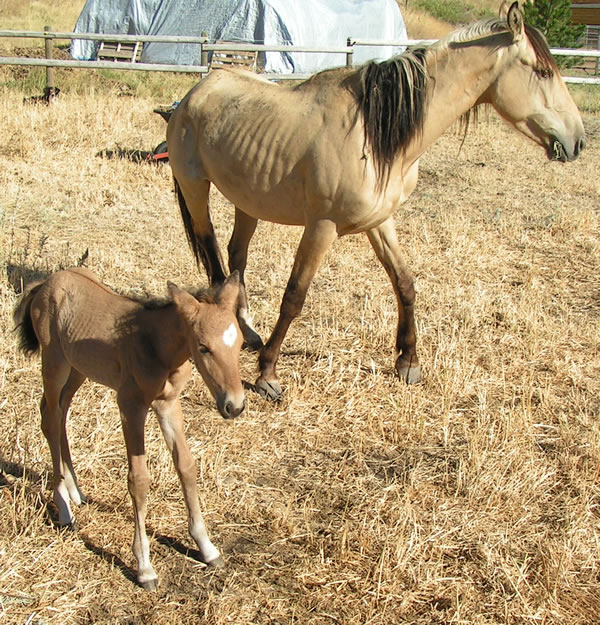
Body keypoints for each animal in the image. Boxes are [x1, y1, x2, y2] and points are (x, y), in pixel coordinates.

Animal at [168, 3, 584, 400]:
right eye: (542, 72)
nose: (577, 141)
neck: (373, 133)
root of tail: (196, 92)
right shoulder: (322, 227)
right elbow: (294, 296)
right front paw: (268, 374)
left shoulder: (382, 222)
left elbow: (405, 283)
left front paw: (408, 361)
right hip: (196, 189)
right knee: (214, 256)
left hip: (249, 200)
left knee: (237, 257)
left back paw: (247, 332)